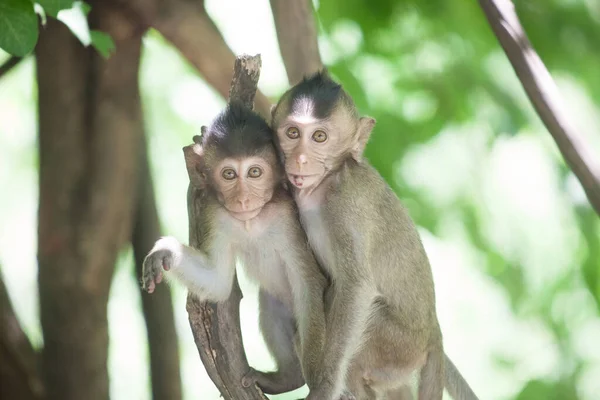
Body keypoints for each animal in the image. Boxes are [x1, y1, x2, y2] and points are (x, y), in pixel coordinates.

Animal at [142, 101, 328, 396]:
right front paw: (166, 251)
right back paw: (288, 379)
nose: (242, 199)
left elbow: (308, 282)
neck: (251, 220)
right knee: (271, 303)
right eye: (229, 174)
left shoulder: (288, 217)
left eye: (254, 172)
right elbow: (217, 282)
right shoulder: (214, 213)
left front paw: (318, 384)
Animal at [270, 72, 478, 400]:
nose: (300, 159)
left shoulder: (346, 208)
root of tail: (434, 332)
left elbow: (356, 287)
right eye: (292, 133)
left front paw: (323, 388)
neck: (326, 183)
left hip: (397, 346)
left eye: (319, 137)